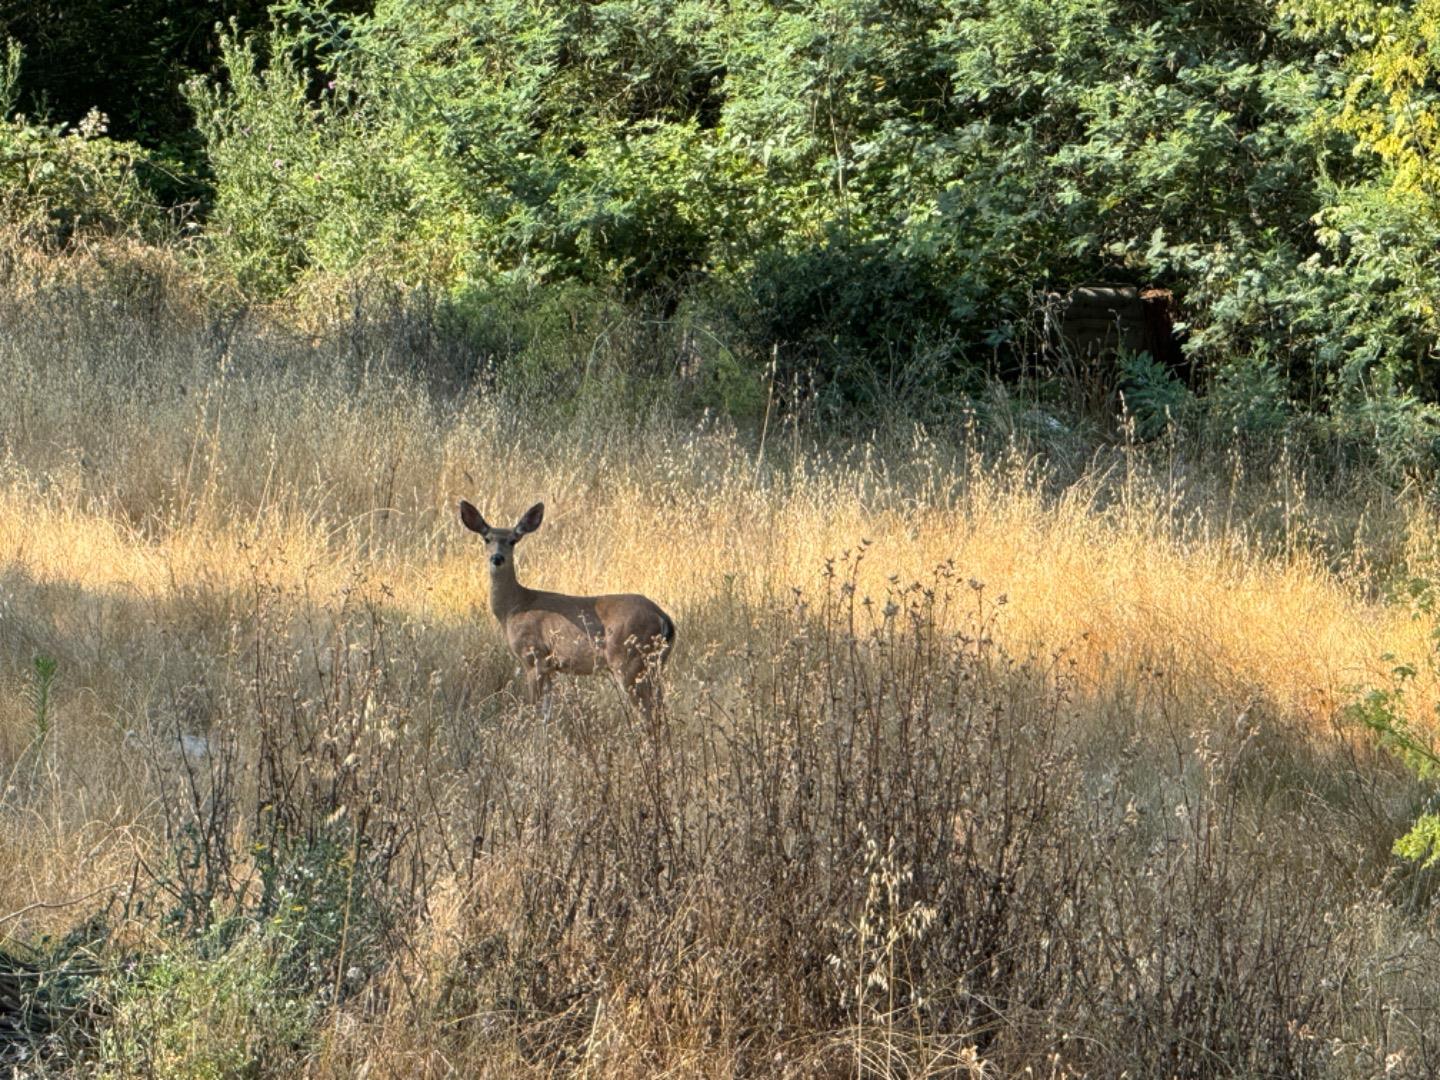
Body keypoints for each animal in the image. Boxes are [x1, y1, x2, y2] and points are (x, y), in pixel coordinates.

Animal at [457, 501, 676, 720]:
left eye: (513, 541)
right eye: (487, 539)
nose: (497, 558)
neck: (514, 607)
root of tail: (663, 618)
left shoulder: (534, 656)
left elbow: (535, 709)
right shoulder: (549, 666)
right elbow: (546, 713)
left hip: (627, 660)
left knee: (647, 714)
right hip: (656, 663)